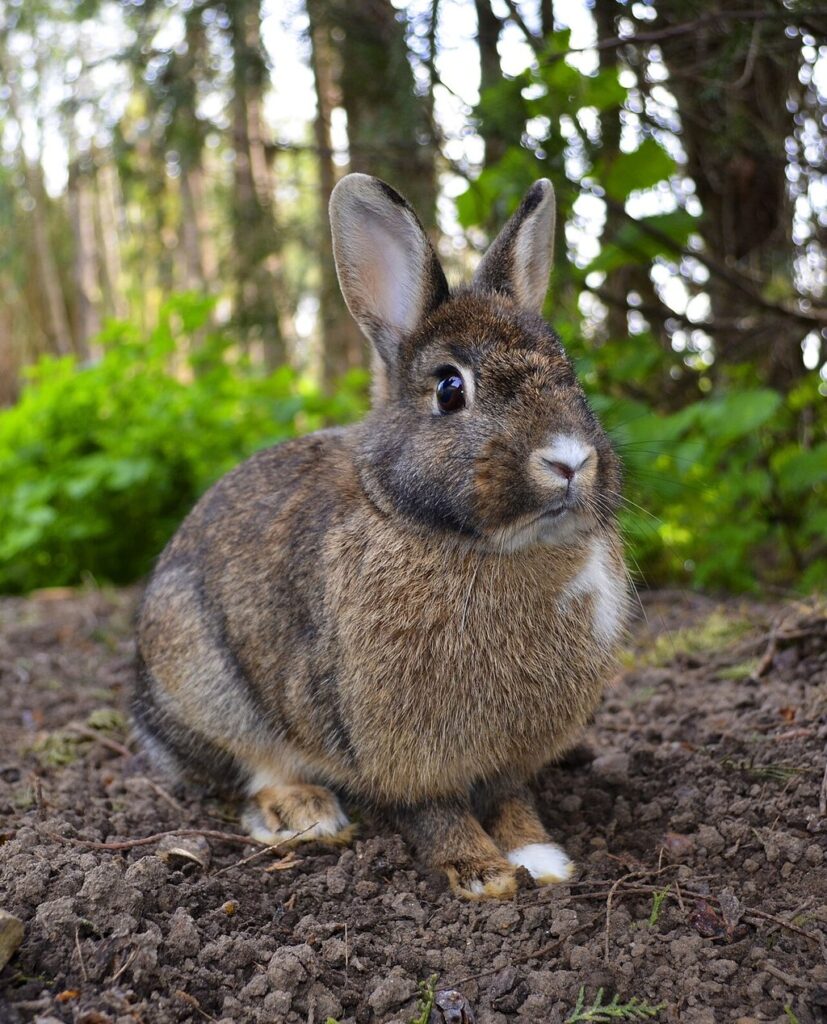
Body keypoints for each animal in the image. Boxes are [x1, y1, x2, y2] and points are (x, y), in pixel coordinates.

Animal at [133, 173, 630, 899]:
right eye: (449, 388)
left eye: (572, 376)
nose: (568, 460)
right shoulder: (394, 746)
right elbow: (433, 809)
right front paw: (480, 872)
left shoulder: (511, 758)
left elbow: (510, 800)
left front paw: (539, 856)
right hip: (200, 674)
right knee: (250, 767)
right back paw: (304, 812)